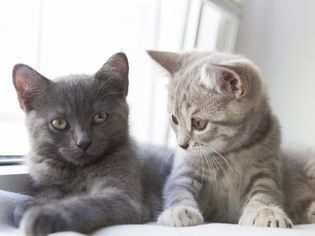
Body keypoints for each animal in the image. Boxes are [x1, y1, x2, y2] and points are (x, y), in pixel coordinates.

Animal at [11, 53, 173, 236]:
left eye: (100, 116)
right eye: (59, 123)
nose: (83, 142)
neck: (77, 171)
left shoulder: (123, 197)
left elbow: (86, 203)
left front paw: (44, 215)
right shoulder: (48, 183)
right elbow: (45, 197)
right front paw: (29, 206)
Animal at [149, 50, 315, 229]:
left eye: (199, 123)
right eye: (174, 119)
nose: (182, 145)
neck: (232, 151)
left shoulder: (266, 171)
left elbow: (264, 192)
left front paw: (264, 211)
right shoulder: (185, 170)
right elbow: (178, 189)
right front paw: (178, 210)